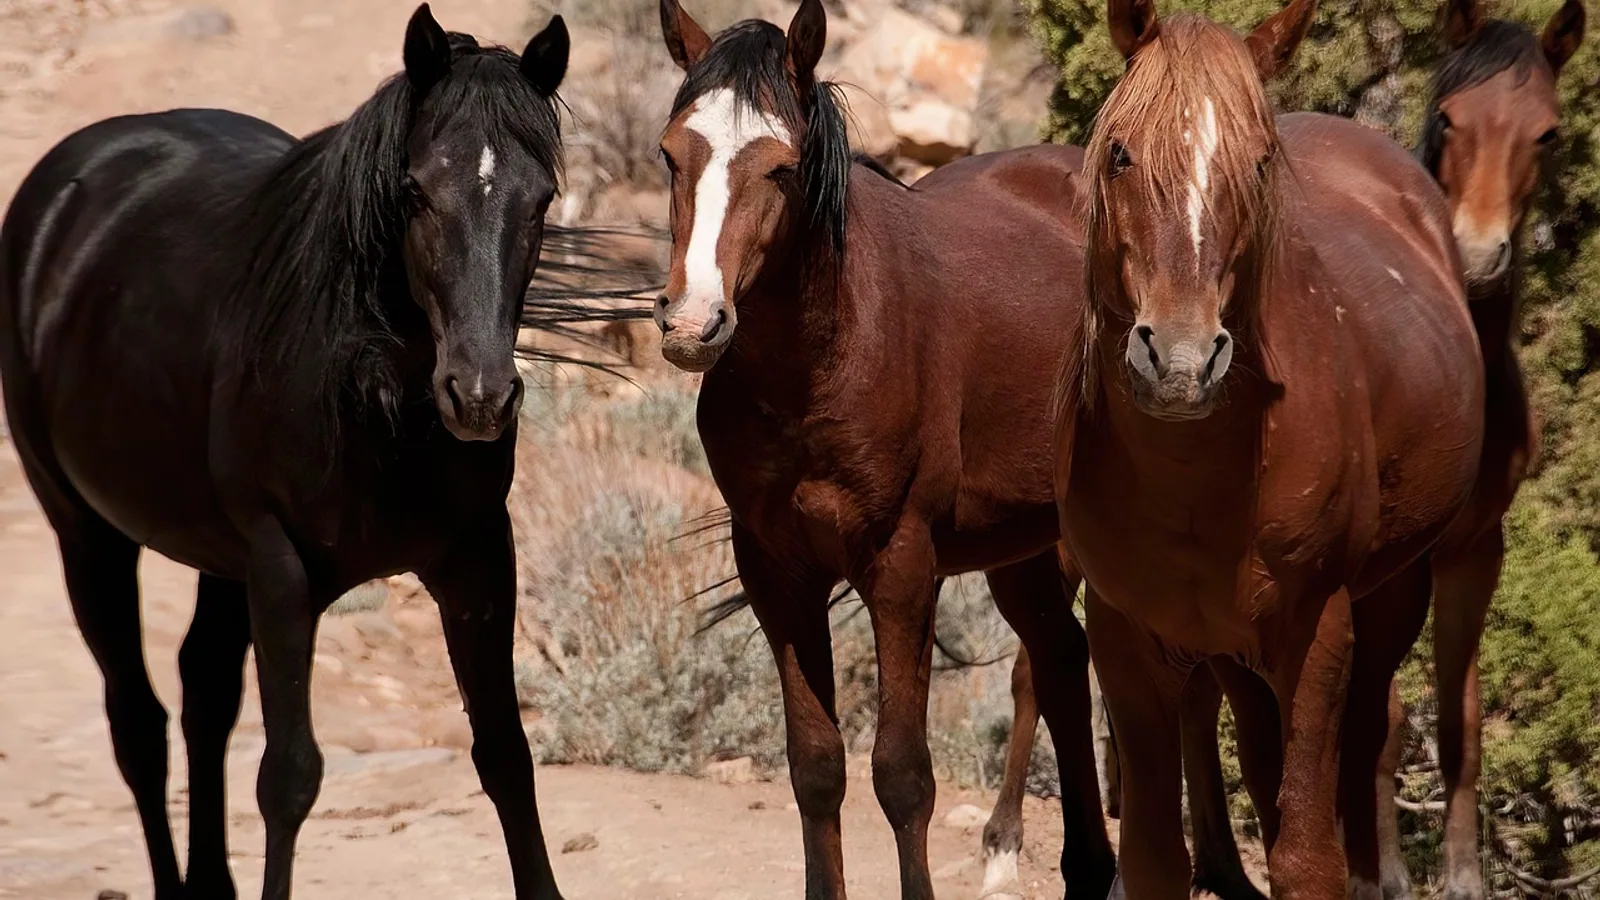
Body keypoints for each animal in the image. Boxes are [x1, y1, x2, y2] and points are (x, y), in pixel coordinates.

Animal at [0, 6, 575, 898]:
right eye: (414, 190)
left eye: (541, 198)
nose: (480, 397)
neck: (373, 405)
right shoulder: (281, 566)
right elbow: (290, 776)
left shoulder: (479, 558)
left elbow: (507, 757)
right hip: (87, 537)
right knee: (138, 725)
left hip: (216, 559)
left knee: (202, 696)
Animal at [1052, 0, 1487, 895]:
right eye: (1119, 153)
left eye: (1256, 163)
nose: (1180, 361)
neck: (1190, 480)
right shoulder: (1125, 636)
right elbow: (1155, 856)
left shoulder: (1316, 631)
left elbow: (1308, 857)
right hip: (1233, 657)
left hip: (1395, 595)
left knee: (1368, 742)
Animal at [1350, 1, 1586, 896]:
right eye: (1448, 118)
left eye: (1548, 133)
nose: (1479, 256)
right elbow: (1382, 720)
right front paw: (1379, 873)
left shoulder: (1473, 550)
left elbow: (1461, 723)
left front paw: (1460, 876)